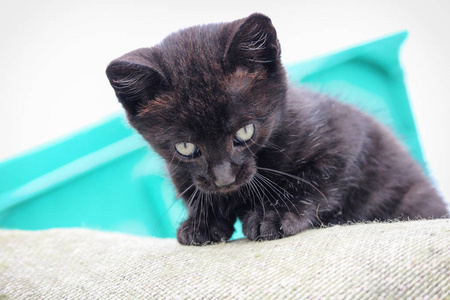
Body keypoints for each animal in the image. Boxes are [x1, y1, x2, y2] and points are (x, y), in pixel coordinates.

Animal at [107, 12, 448, 245]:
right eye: (186, 147)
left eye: (245, 132)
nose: (223, 178)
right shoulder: (180, 170)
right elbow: (193, 189)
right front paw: (203, 222)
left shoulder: (346, 137)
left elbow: (315, 179)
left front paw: (274, 214)